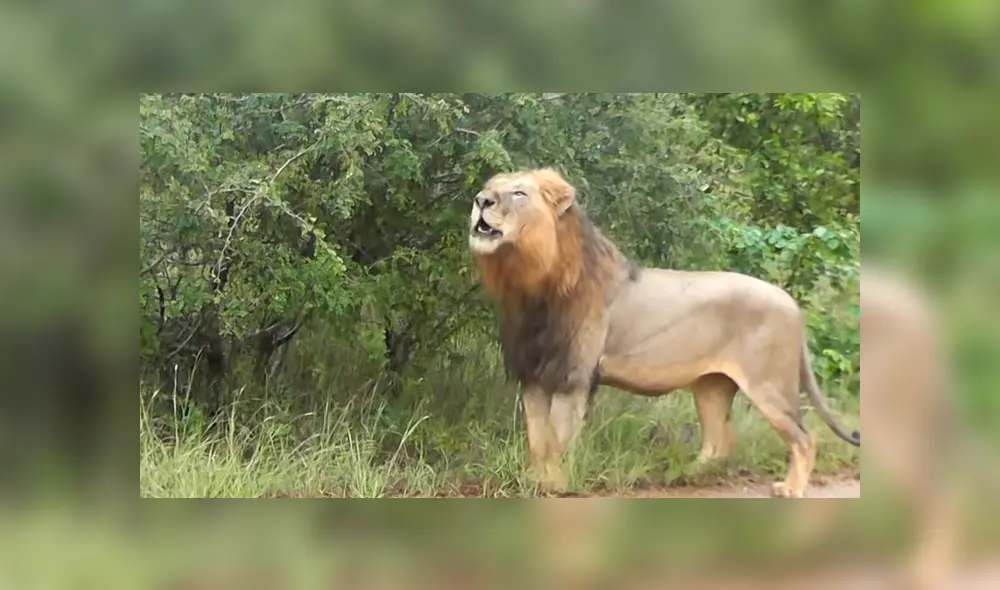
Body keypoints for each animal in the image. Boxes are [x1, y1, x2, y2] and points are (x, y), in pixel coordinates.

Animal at [468, 167, 860, 498]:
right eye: (490, 187)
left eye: (519, 192)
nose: (480, 200)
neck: (527, 288)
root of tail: (791, 303)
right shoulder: (532, 376)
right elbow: (536, 440)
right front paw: (534, 479)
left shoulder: (572, 378)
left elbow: (556, 442)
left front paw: (554, 486)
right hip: (712, 387)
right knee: (720, 441)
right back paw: (682, 475)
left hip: (769, 384)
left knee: (804, 438)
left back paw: (790, 488)